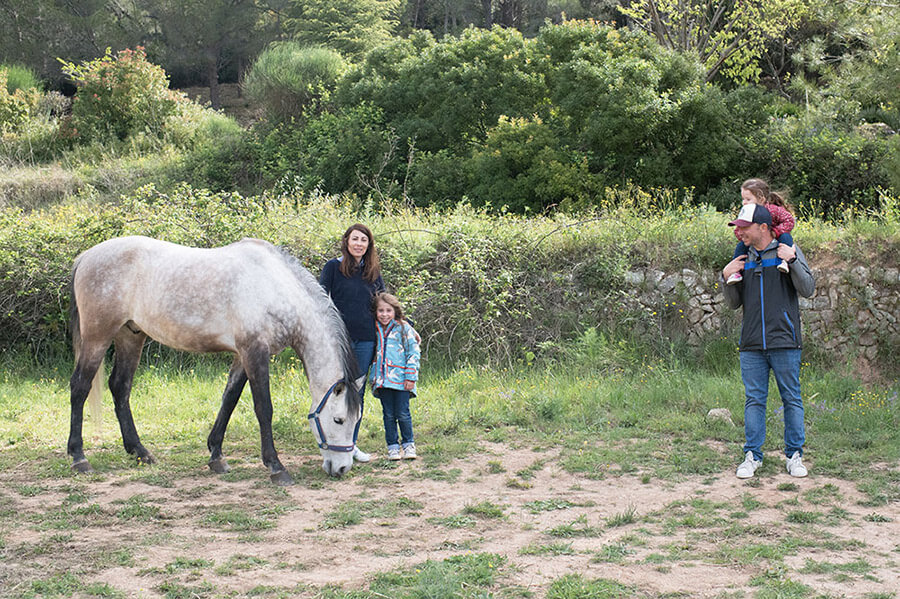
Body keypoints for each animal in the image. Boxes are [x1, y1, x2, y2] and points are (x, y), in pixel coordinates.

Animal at [67, 237, 362, 486]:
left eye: (356, 420)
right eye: (338, 420)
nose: (342, 468)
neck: (274, 288)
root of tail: (85, 257)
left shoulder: (242, 355)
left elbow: (229, 399)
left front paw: (216, 456)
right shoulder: (255, 351)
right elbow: (263, 408)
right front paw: (276, 466)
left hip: (130, 335)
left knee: (120, 387)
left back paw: (139, 452)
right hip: (98, 337)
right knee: (80, 387)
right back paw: (79, 457)